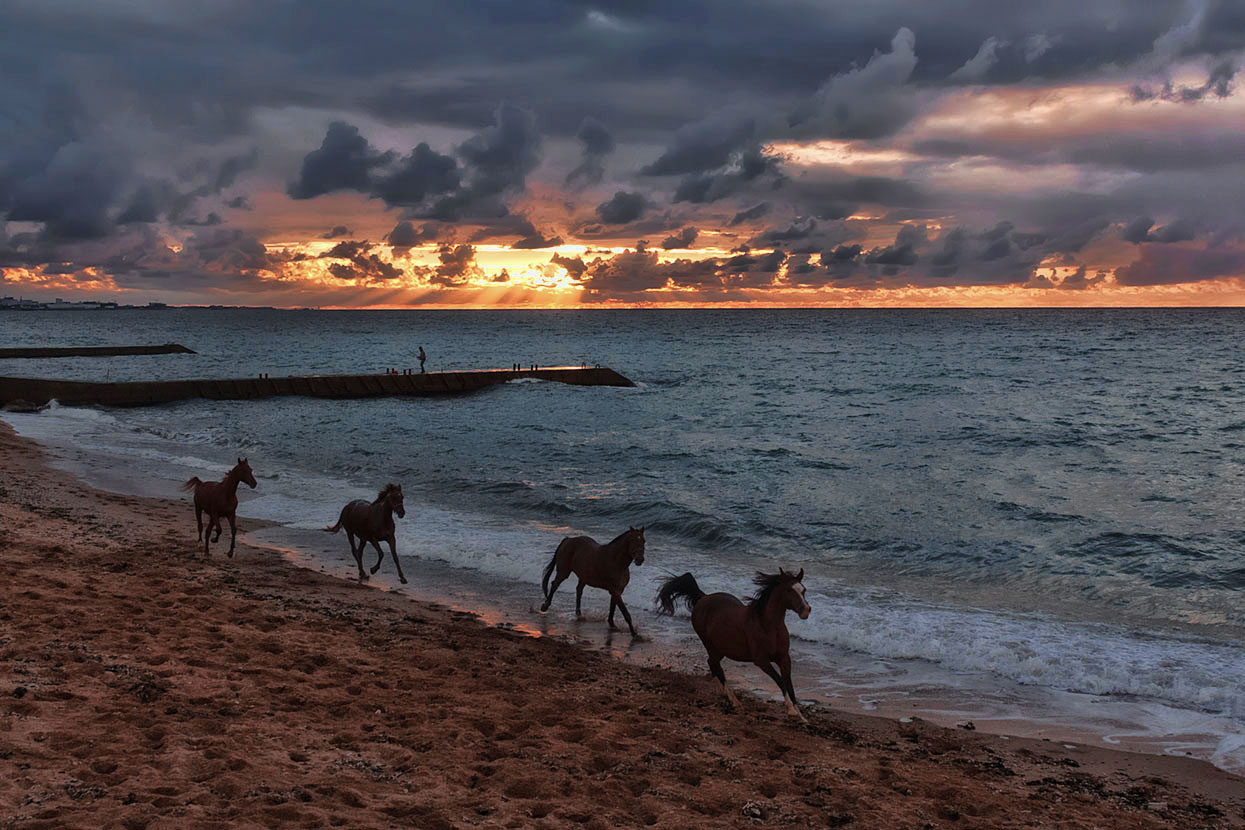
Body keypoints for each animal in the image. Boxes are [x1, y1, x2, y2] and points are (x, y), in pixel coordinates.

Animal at [657, 572, 811, 721]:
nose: (806, 610)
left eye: (804, 590)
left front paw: (801, 716)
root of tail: (703, 597)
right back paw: (734, 700)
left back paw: (722, 692)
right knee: (716, 665)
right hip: (709, 644)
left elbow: (789, 685)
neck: (768, 626)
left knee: (712, 663)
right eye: (789, 590)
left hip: (720, 649)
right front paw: (792, 711)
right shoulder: (761, 661)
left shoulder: (784, 658)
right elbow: (780, 681)